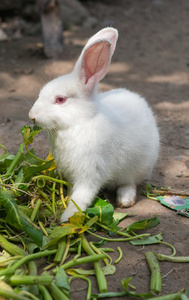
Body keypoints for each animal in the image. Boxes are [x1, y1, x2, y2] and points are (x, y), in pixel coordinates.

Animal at [29, 27, 159, 221]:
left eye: (60, 99)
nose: (32, 116)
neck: (79, 122)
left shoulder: (91, 172)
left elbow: (81, 196)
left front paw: (67, 218)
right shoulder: (70, 173)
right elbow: (72, 190)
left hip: (137, 168)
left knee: (129, 183)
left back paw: (125, 200)